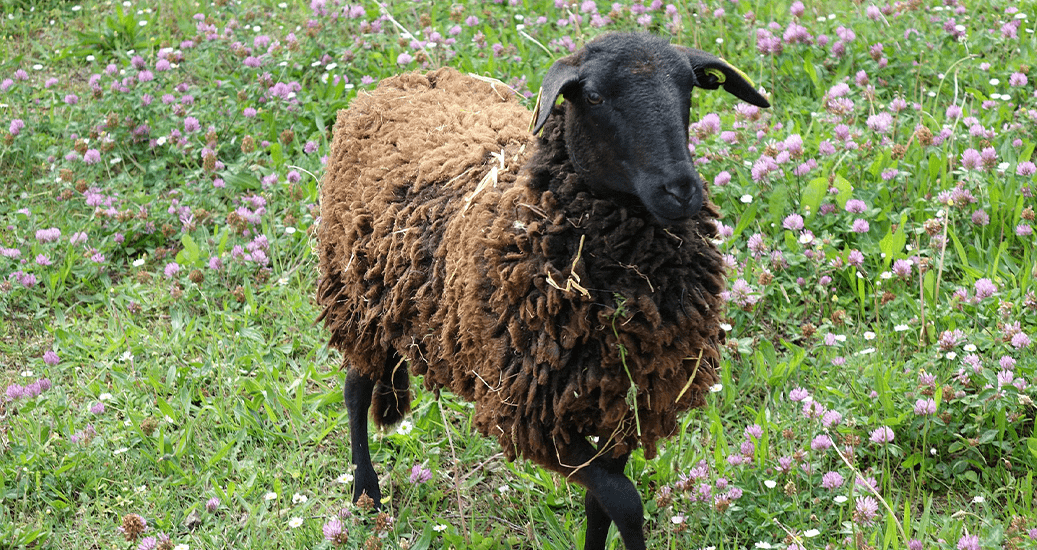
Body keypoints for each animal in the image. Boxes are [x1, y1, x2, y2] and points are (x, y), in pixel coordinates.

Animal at [315, 31, 771, 547]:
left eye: (689, 88)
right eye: (592, 96)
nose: (681, 190)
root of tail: (400, 80)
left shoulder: (623, 403)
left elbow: (600, 503)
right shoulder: (527, 412)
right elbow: (623, 500)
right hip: (357, 300)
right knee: (355, 389)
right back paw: (365, 494)